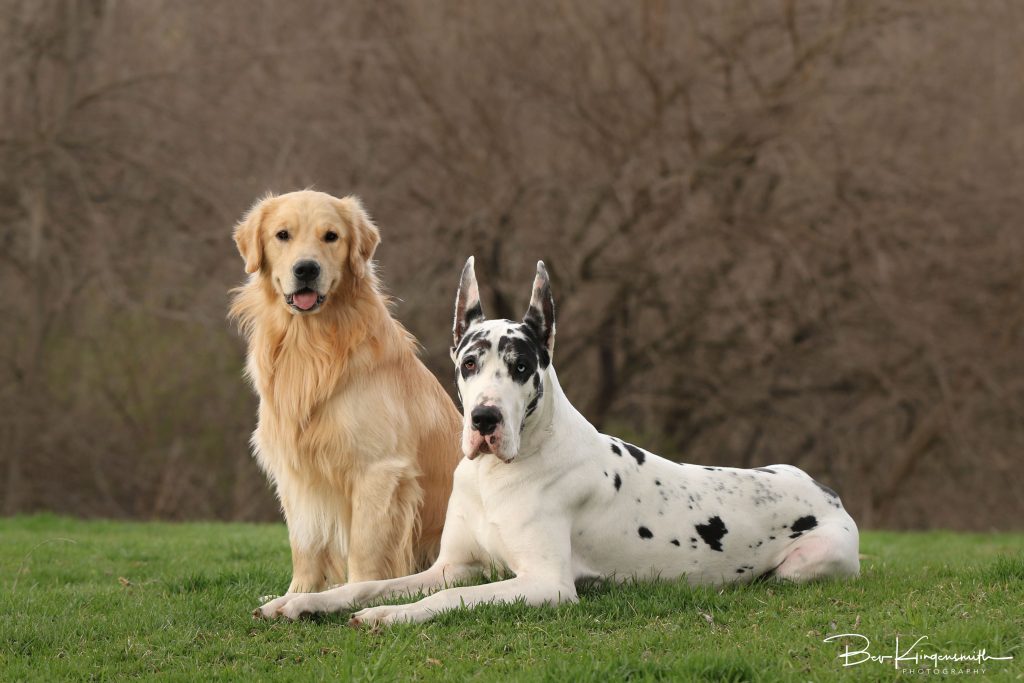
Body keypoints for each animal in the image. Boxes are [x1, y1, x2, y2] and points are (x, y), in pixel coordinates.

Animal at [256, 259, 856, 626]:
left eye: (521, 366)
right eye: (469, 363)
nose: (486, 419)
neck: (499, 474)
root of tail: (826, 490)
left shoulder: (544, 584)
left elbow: (453, 598)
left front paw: (391, 616)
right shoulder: (450, 565)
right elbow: (369, 584)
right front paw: (305, 601)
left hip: (812, 562)